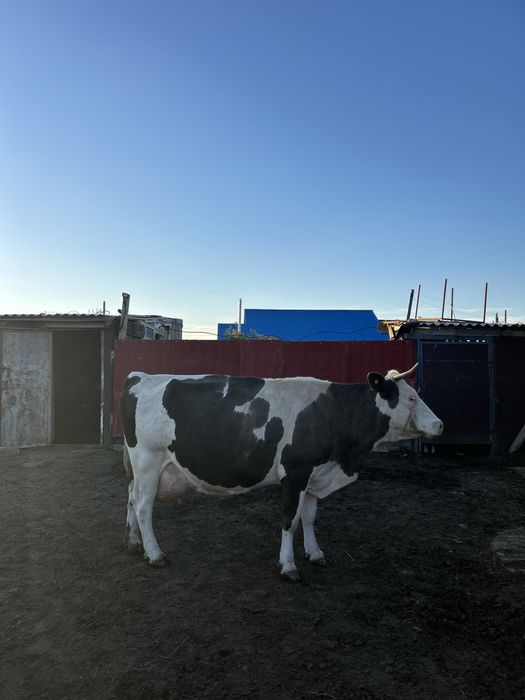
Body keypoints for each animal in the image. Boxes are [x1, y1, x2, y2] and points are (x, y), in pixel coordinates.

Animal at [120, 364, 443, 581]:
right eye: (411, 398)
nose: (440, 424)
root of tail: (141, 376)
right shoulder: (296, 471)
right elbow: (290, 520)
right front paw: (288, 566)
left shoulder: (316, 474)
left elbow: (309, 518)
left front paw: (315, 553)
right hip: (148, 459)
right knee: (144, 506)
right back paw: (154, 554)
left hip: (140, 467)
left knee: (131, 497)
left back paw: (134, 542)